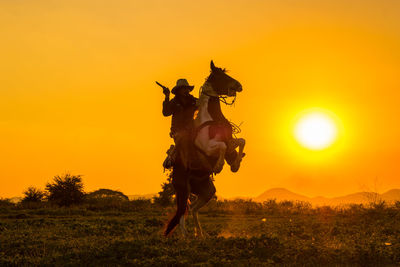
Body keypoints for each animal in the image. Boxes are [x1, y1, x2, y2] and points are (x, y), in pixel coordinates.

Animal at [164, 61, 245, 239]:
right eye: (221, 76)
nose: (239, 85)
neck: (212, 118)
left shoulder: (230, 141)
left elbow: (240, 141)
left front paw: (236, 163)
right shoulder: (209, 147)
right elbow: (222, 147)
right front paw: (219, 166)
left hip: (207, 191)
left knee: (193, 208)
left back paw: (201, 234)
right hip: (183, 190)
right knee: (181, 212)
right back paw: (185, 236)